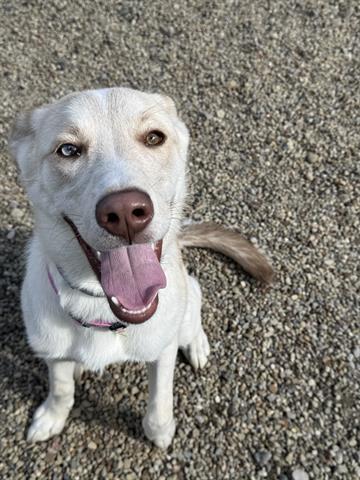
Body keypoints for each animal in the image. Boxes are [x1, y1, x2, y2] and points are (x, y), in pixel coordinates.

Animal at [9, 87, 272, 450]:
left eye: (154, 137)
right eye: (68, 149)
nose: (124, 212)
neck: (100, 308)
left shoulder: (161, 351)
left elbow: (160, 395)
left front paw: (159, 430)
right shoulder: (53, 352)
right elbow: (61, 389)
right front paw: (51, 416)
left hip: (187, 303)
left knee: (193, 312)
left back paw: (197, 344)